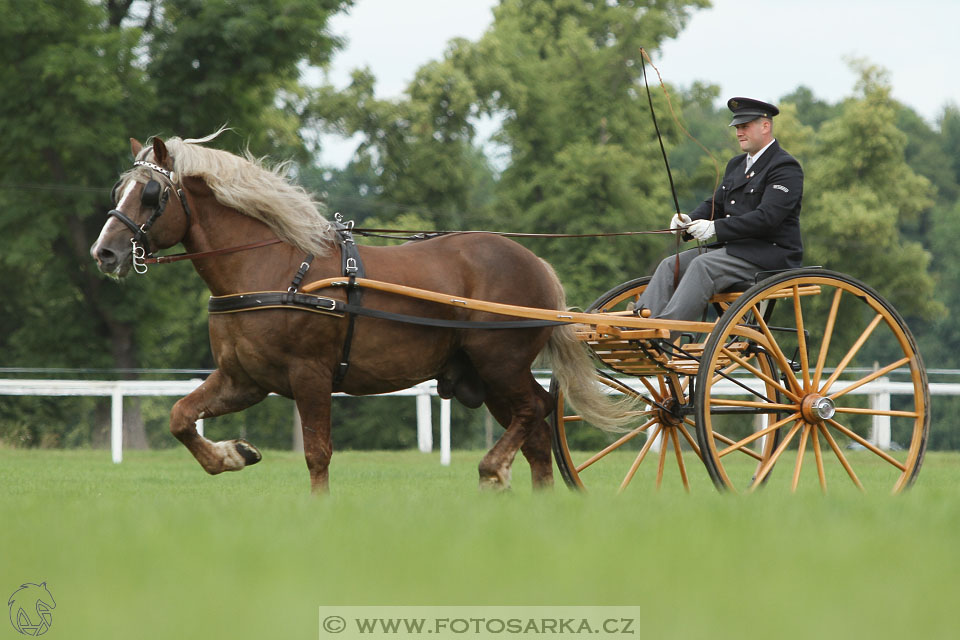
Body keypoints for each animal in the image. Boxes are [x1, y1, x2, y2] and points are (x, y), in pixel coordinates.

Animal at [92, 132, 624, 492]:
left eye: (151, 194)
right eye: (118, 191)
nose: (105, 253)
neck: (270, 268)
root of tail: (534, 263)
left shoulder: (310, 374)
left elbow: (317, 453)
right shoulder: (244, 379)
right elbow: (180, 417)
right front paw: (233, 454)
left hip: (500, 363)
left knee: (536, 410)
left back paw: (494, 469)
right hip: (488, 375)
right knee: (535, 433)